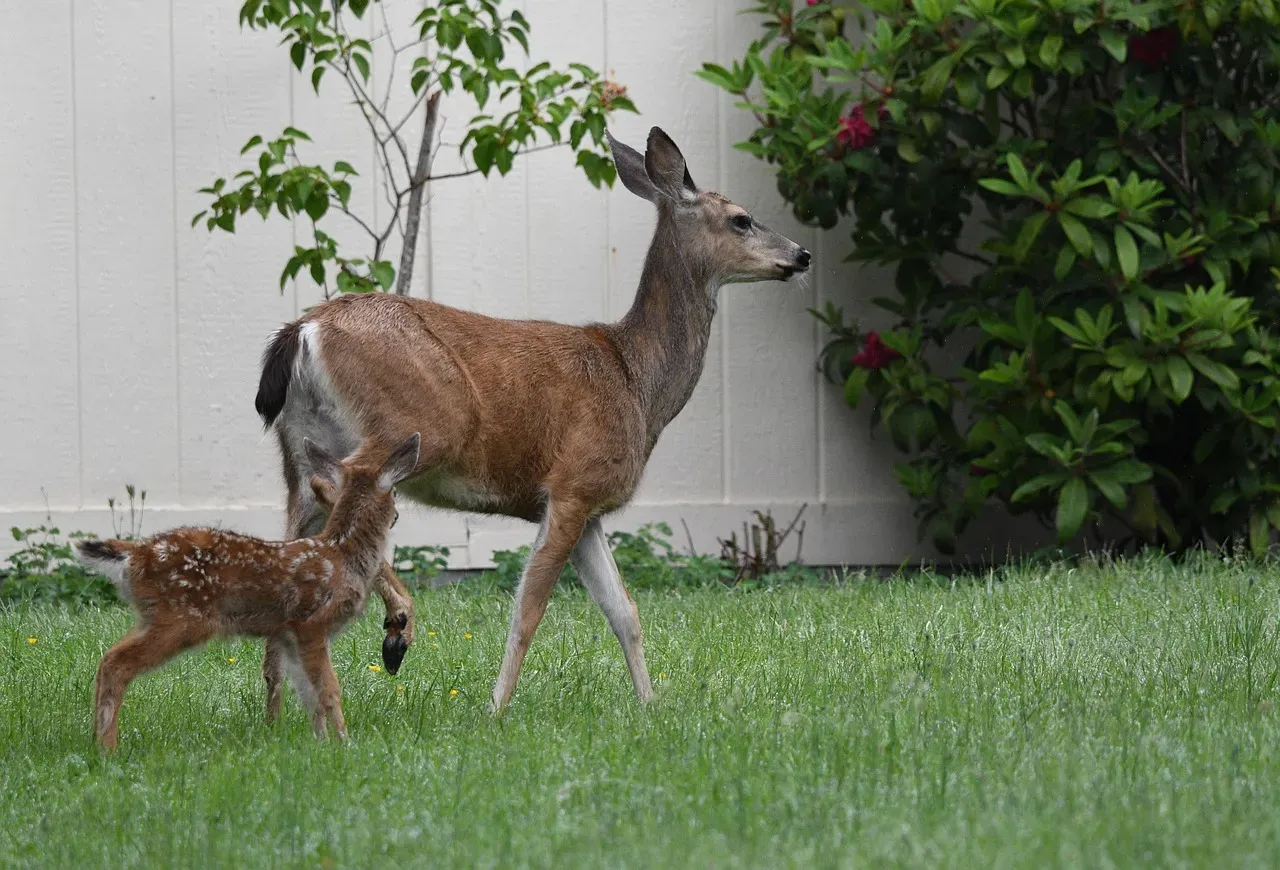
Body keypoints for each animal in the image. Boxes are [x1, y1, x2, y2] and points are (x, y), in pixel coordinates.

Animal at [75, 432, 422, 750]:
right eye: (394, 491)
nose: (396, 516)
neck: (341, 555)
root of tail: (134, 555)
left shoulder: (287, 634)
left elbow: (307, 694)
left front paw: (322, 743)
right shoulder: (311, 623)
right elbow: (328, 689)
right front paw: (344, 742)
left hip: (154, 616)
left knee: (106, 661)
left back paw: (94, 741)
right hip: (180, 618)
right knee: (116, 663)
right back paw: (107, 748)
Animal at [253, 126, 812, 712]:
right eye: (741, 219)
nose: (802, 255)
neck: (636, 380)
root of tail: (303, 332)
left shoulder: (591, 507)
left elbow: (625, 612)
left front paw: (650, 705)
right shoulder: (571, 486)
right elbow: (529, 610)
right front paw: (496, 709)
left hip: (296, 447)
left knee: (291, 543)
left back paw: (276, 713)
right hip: (415, 426)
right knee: (343, 489)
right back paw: (398, 625)